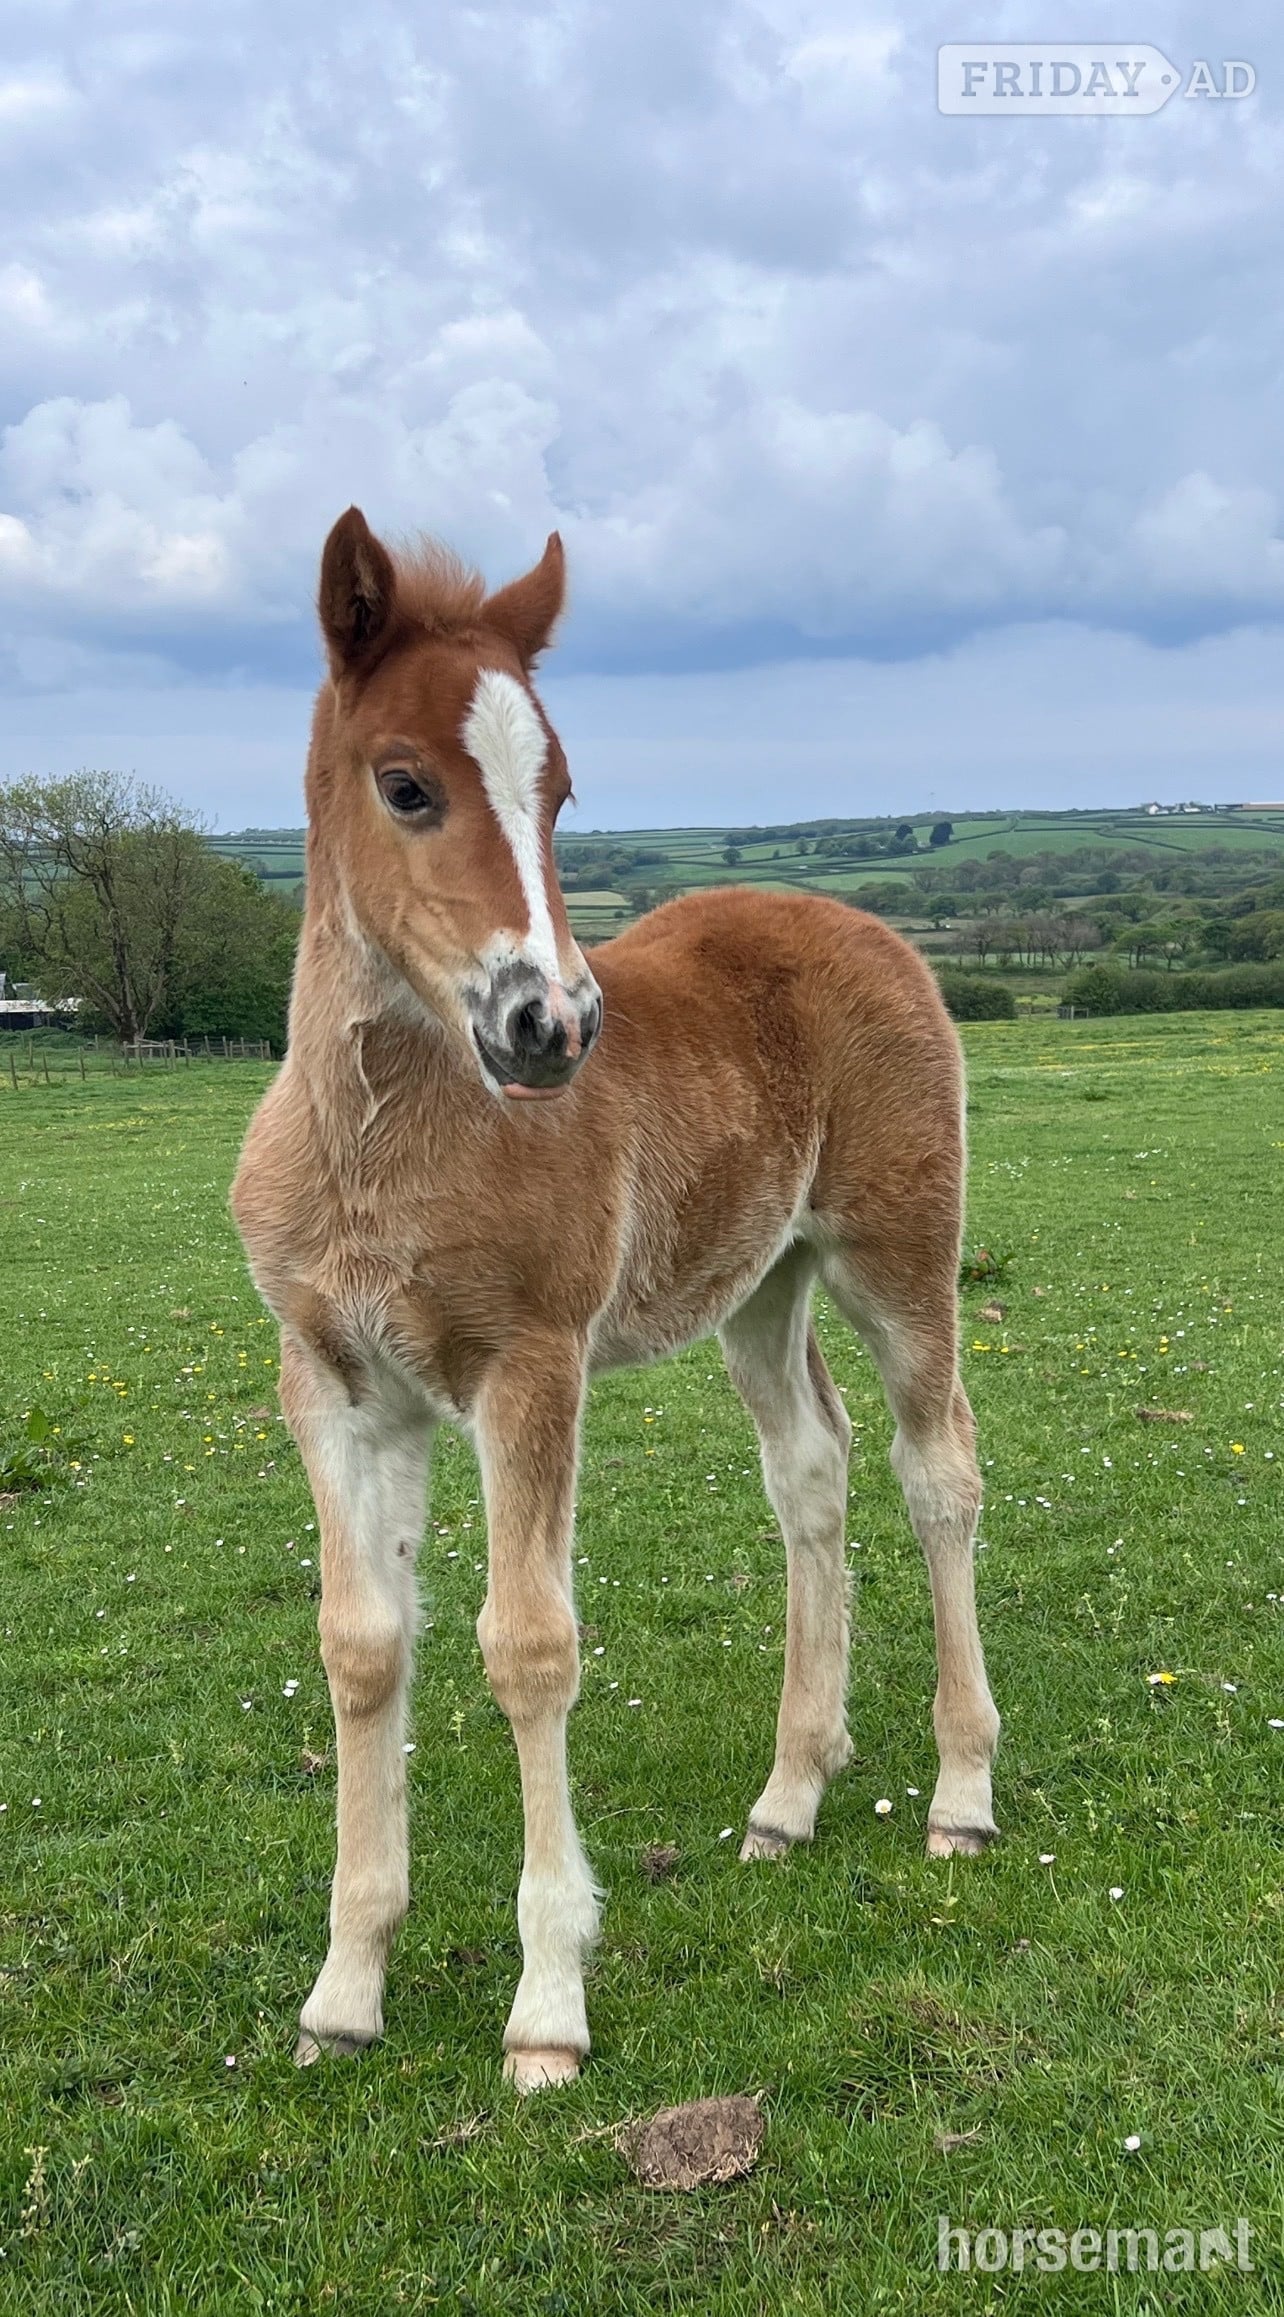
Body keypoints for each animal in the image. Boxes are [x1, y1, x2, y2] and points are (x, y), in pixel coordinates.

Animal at [231, 507, 999, 2091]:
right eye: (405, 784)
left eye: (563, 789)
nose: (555, 1024)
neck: (379, 1146)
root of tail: (873, 929)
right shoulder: (336, 1385)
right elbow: (360, 1648)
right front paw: (344, 1991)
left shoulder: (529, 1364)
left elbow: (529, 1648)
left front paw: (547, 2009)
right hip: (759, 1283)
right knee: (812, 1471)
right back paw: (789, 1794)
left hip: (898, 1253)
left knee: (936, 1468)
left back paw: (961, 1791)